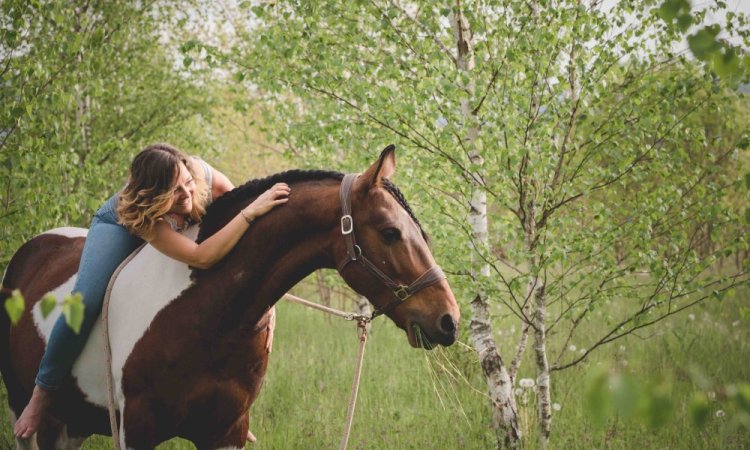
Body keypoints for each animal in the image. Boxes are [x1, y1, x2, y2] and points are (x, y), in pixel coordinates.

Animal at [0, 146, 462, 448]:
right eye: (390, 231)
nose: (448, 319)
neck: (205, 314)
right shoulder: (136, 432)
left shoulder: (225, 433)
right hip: (32, 414)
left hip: (71, 424)